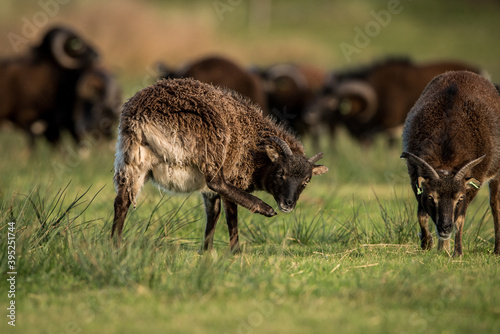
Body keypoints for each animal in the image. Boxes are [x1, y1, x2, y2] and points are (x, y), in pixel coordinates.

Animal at [110, 77, 328, 252]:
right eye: (281, 173)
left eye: (306, 181)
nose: (288, 205)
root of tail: (143, 115)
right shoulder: (235, 175)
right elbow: (230, 215)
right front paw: (235, 251)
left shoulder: (208, 192)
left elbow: (212, 213)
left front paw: (206, 250)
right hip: (209, 141)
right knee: (217, 181)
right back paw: (263, 208)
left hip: (131, 157)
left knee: (122, 200)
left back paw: (115, 245)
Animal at [402, 70, 500, 258]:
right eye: (431, 197)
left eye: (459, 198)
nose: (445, 227)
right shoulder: (414, 175)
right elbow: (421, 215)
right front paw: (427, 245)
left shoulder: (473, 182)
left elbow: (460, 219)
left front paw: (458, 253)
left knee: (495, 204)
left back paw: (497, 250)